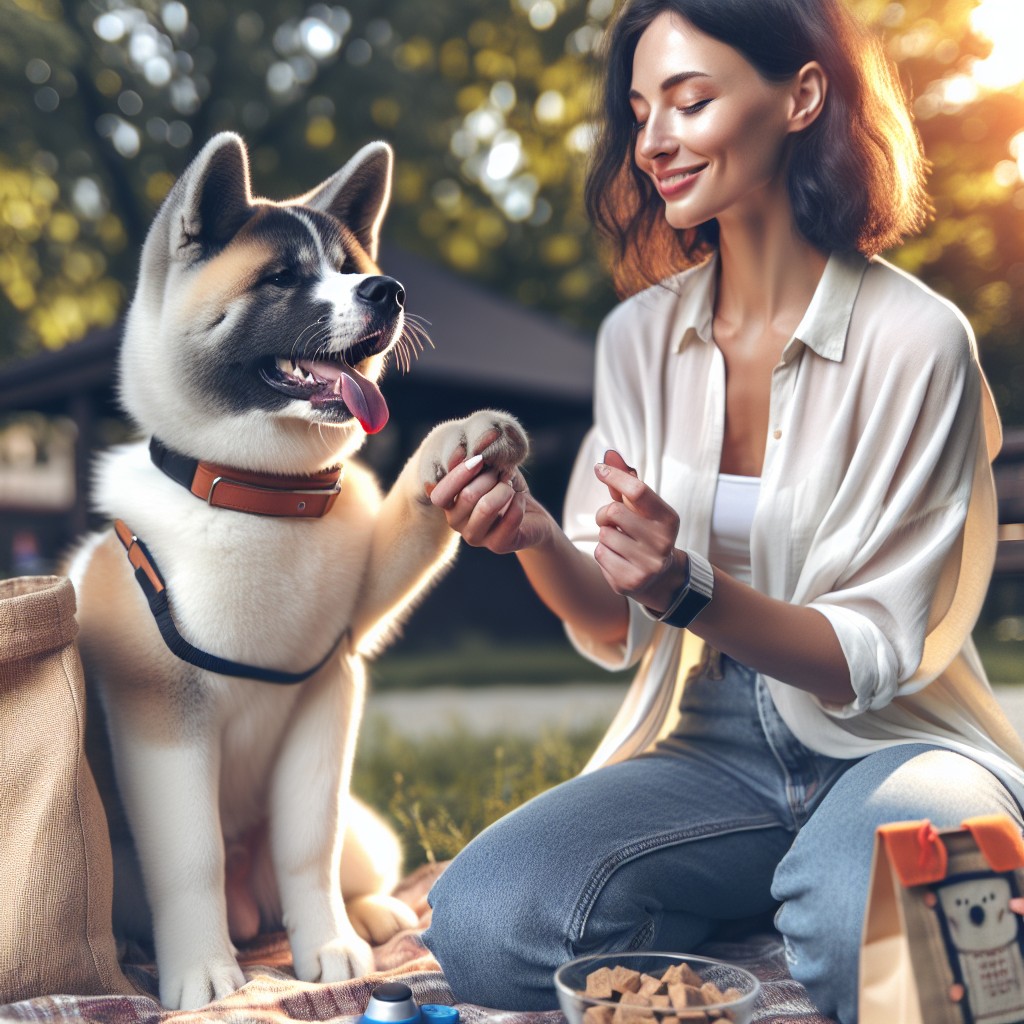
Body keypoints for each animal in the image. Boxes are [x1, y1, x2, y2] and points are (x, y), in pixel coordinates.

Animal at [67, 134, 528, 1007]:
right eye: (280, 278)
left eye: (350, 266)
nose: (388, 290)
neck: (265, 500)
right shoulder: (162, 716)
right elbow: (193, 857)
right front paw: (203, 973)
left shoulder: (331, 680)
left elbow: (308, 844)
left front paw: (333, 947)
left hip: (367, 831)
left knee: (348, 860)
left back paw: (375, 915)